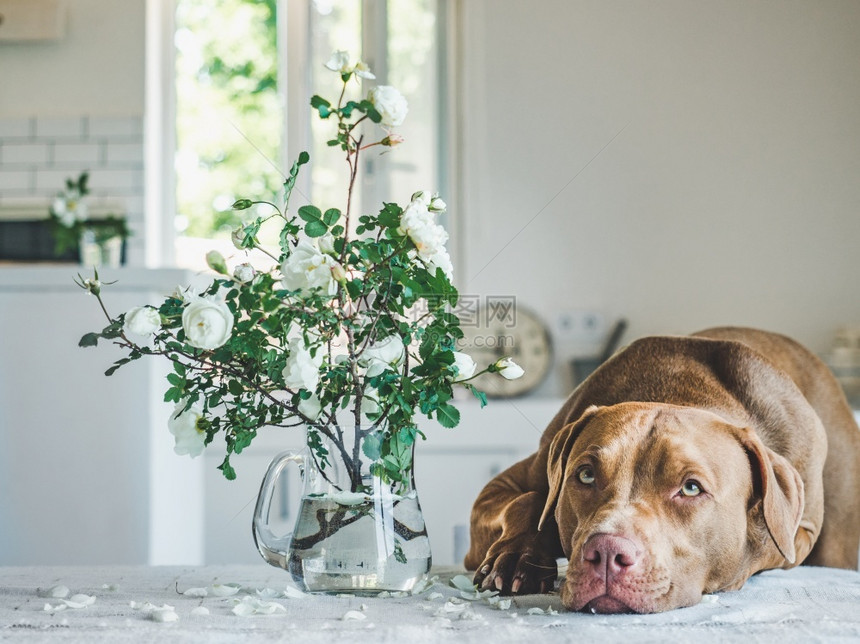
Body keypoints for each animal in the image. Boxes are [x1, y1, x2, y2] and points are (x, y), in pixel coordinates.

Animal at [466, 328, 856, 612]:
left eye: (691, 488)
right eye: (586, 475)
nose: (607, 553)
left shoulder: (800, 531)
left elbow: (766, 547)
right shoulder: (502, 486)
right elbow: (528, 500)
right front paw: (518, 557)